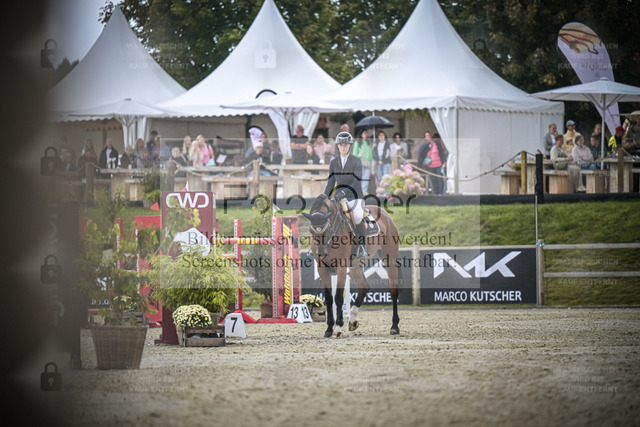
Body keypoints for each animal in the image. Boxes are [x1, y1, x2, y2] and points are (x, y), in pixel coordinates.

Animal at [302, 194, 401, 337]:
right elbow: (328, 298)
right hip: (355, 265)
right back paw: (353, 321)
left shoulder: (341, 267)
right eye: (311, 229)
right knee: (363, 286)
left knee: (393, 290)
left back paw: (394, 326)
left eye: (327, 228)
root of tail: (385, 214)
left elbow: (338, 297)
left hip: (390, 258)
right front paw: (329, 328)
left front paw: (338, 328)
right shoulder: (322, 269)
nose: (321, 253)